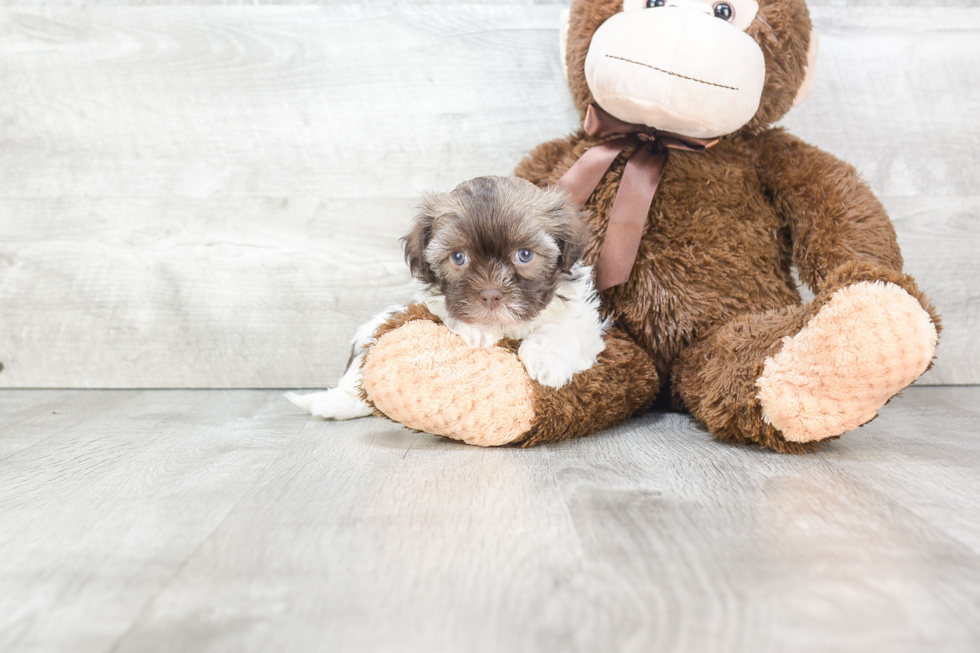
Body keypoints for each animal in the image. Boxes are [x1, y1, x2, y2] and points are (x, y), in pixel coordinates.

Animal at [286, 174, 604, 418]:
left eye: (524, 255)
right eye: (458, 257)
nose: (491, 295)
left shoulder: (585, 323)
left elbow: (561, 328)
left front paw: (547, 362)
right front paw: (477, 330)